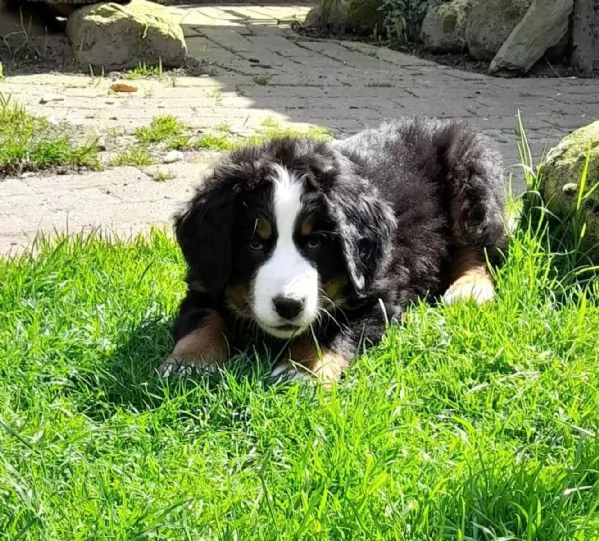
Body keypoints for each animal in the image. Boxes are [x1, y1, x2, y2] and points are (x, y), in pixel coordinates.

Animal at [159, 116, 506, 382]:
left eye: (315, 242)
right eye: (254, 242)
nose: (288, 306)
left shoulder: (378, 291)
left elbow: (329, 327)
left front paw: (303, 370)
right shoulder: (204, 281)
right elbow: (203, 320)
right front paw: (188, 363)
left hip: (469, 172)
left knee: (480, 249)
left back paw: (470, 288)